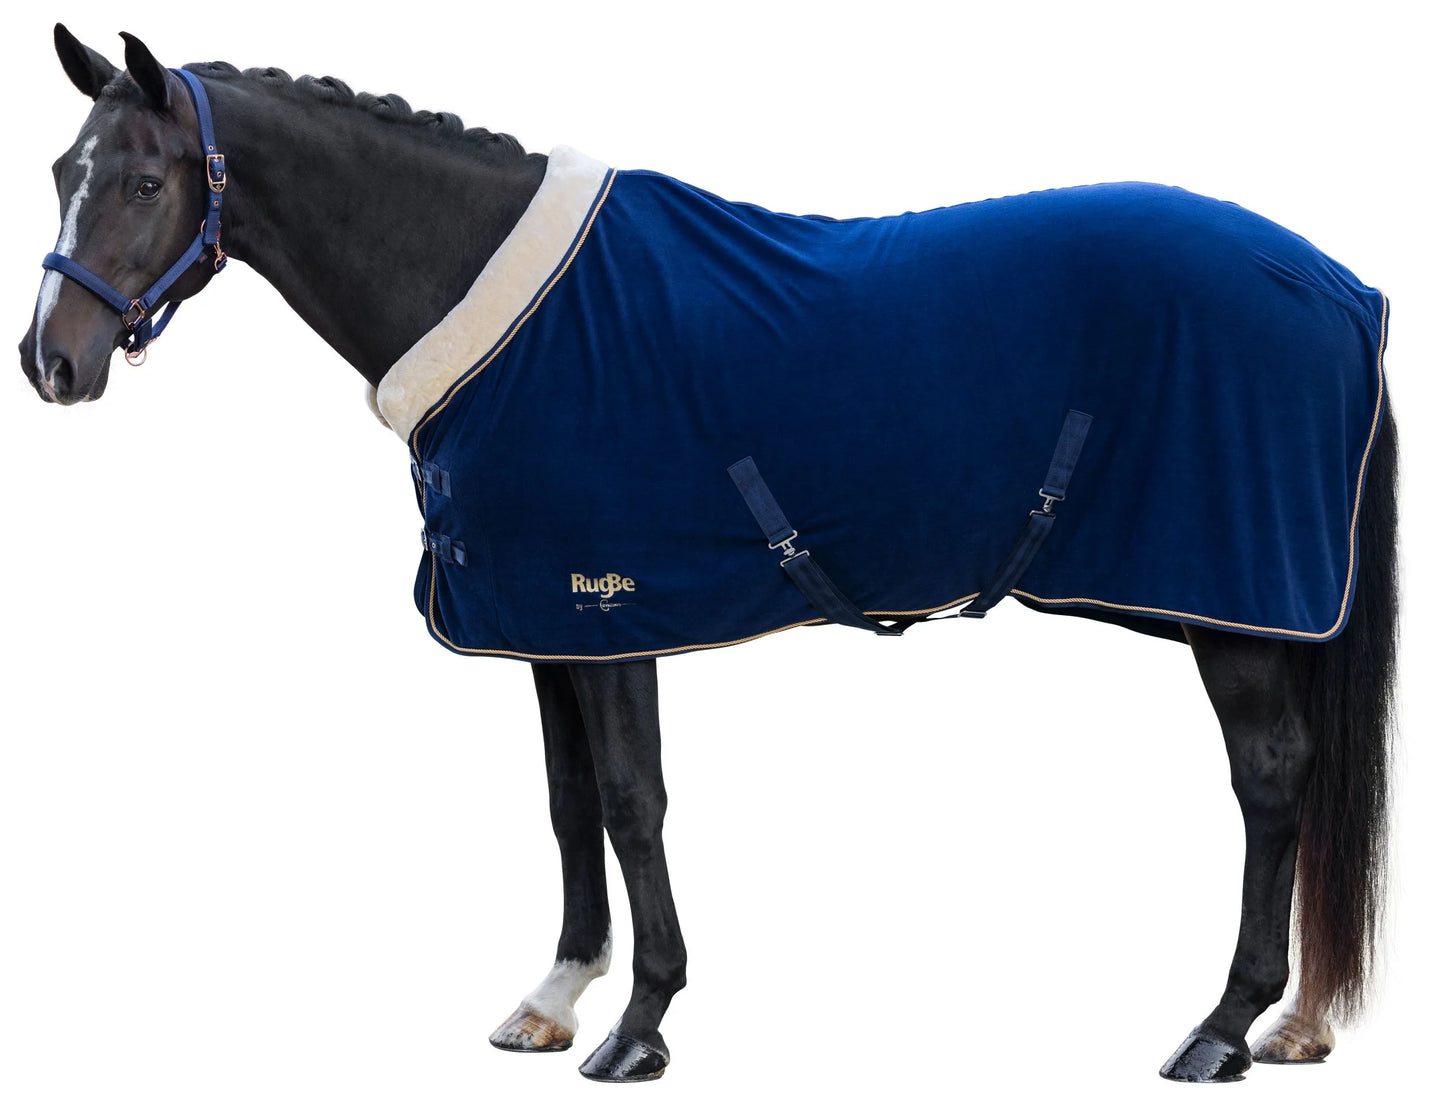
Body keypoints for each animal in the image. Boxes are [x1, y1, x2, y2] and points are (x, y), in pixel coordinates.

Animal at [18, 25, 1396, 1085]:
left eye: (144, 182)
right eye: (60, 169)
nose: (51, 363)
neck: (507, 315)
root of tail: (1340, 287)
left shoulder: (609, 607)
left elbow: (634, 802)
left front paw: (637, 1026)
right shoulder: (542, 619)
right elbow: (568, 799)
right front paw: (555, 995)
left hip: (1232, 610)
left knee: (1270, 780)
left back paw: (1220, 1028)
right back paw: (1292, 1024)